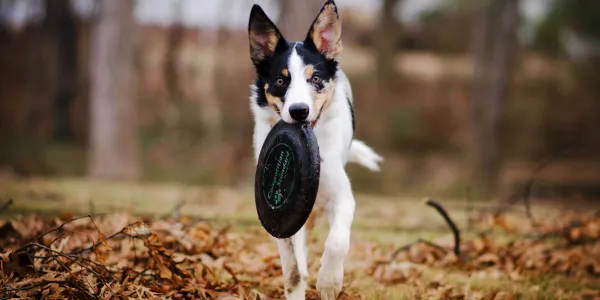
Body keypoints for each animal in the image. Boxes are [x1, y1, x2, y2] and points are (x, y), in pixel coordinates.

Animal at [246, 1, 382, 298]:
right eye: (281, 81)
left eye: (316, 78)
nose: (299, 111)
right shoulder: (280, 219)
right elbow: (292, 267)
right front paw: (299, 285)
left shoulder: (341, 196)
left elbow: (338, 241)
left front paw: (329, 281)